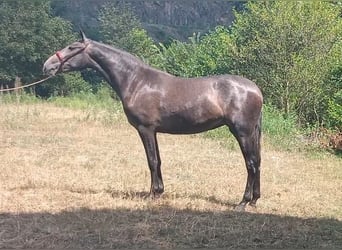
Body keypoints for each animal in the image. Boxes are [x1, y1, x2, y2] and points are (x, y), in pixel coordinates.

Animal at [42, 31, 262, 211]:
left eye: (72, 47)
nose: (47, 66)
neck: (136, 81)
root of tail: (255, 89)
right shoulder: (154, 130)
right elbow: (159, 160)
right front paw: (159, 192)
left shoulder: (145, 129)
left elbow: (152, 161)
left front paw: (151, 194)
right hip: (251, 133)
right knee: (257, 161)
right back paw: (254, 200)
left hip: (242, 132)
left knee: (251, 163)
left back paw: (243, 202)